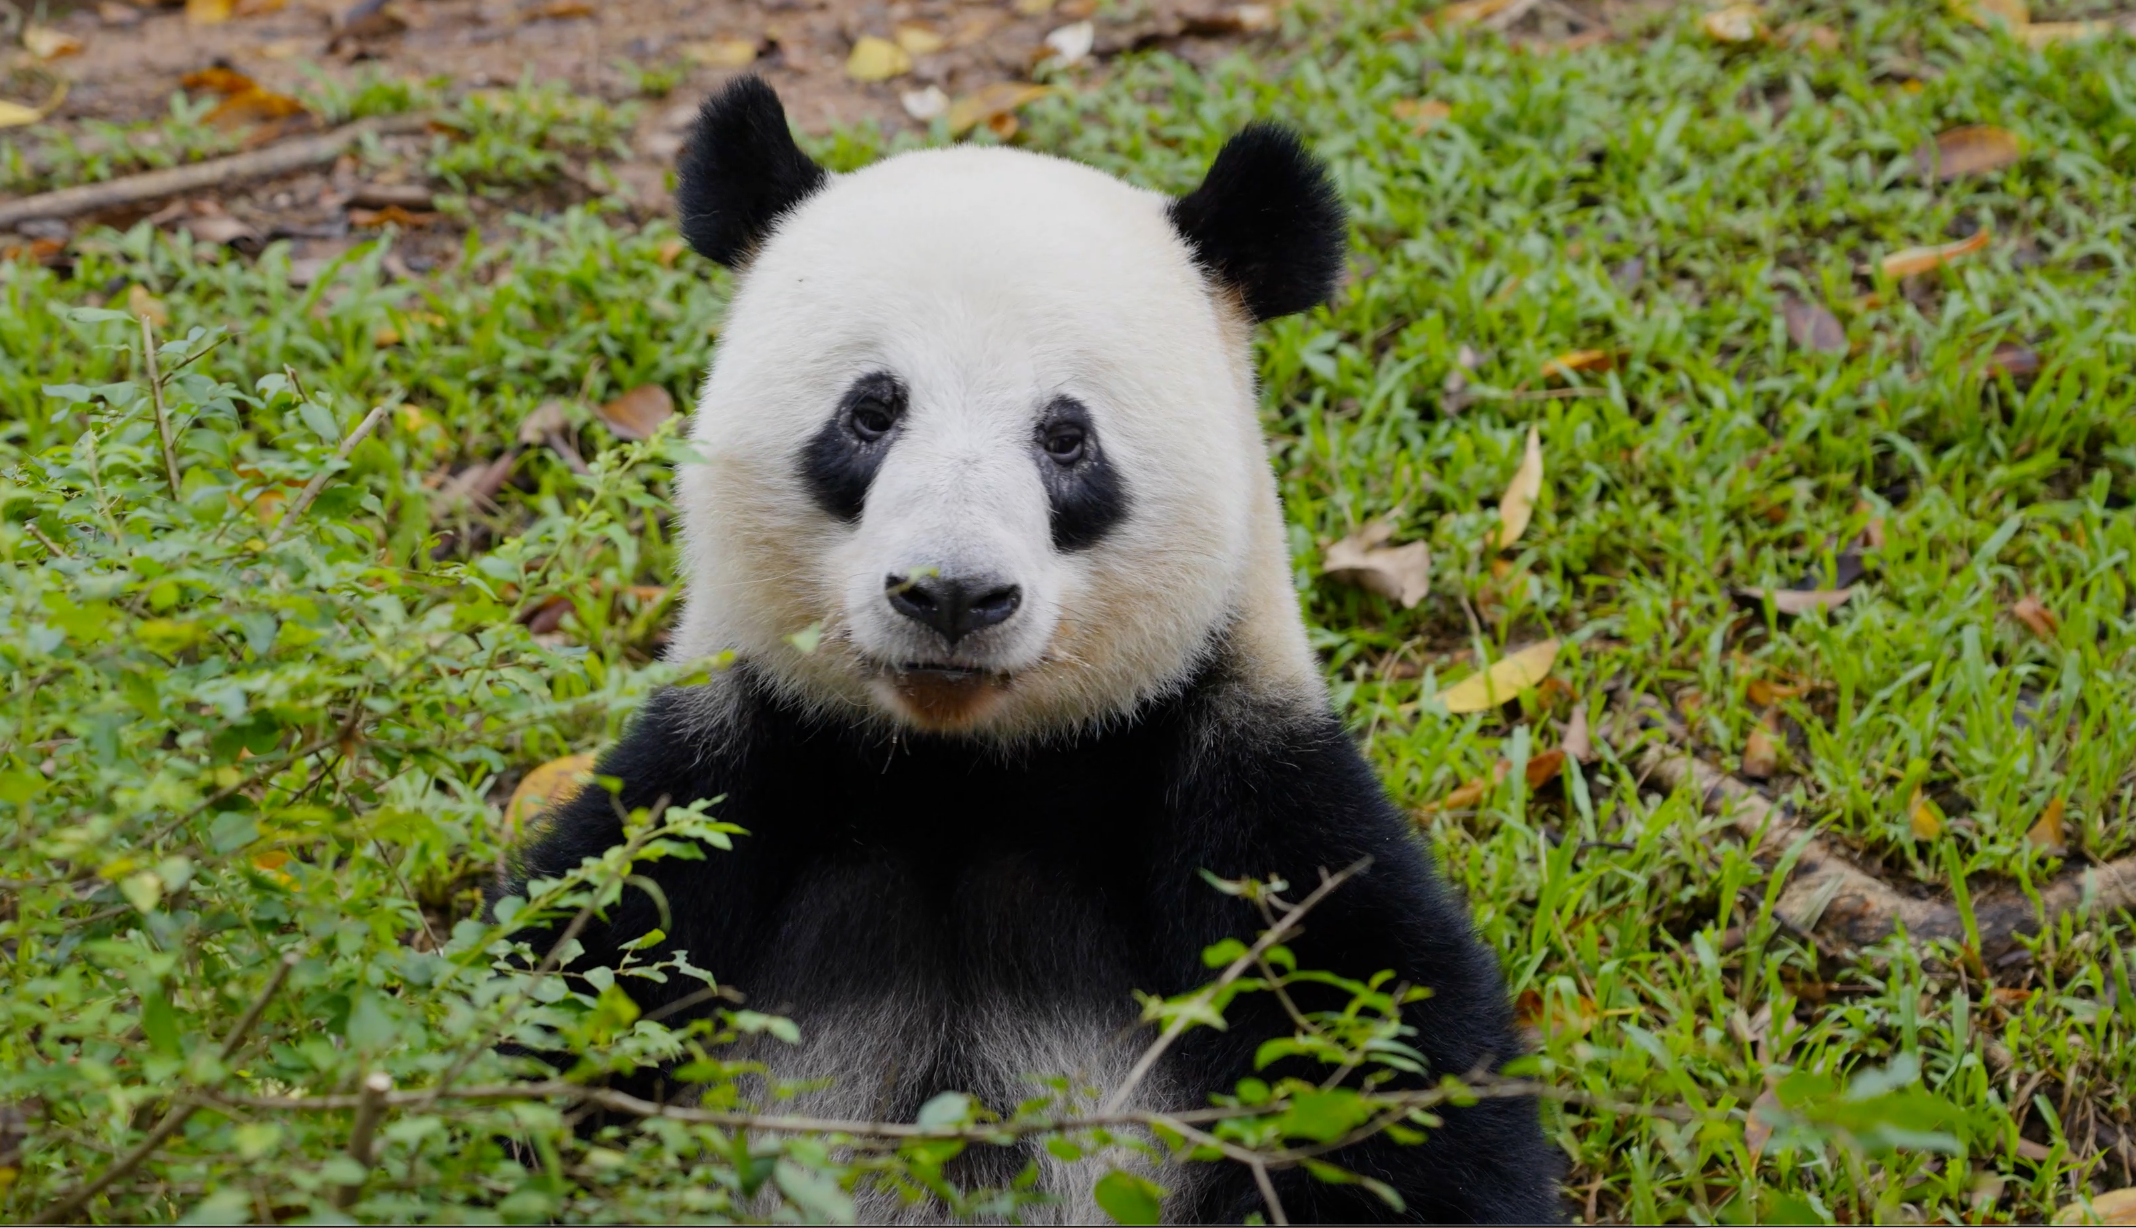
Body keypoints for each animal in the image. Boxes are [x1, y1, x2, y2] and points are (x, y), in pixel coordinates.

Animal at [500, 76, 1561, 1224]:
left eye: (1065, 437)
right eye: (871, 412)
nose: (952, 594)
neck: (961, 774)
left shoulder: (1245, 798)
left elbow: (1391, 1078)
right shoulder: (725, 780)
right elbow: (559, 989)